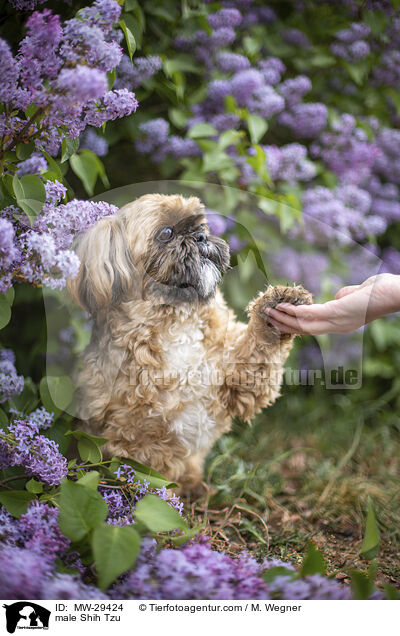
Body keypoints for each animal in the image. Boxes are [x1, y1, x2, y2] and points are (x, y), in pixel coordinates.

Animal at [66, 194, 312, 492]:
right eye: (166, 233)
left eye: (201, 225)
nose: (200, 236)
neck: (177, 319)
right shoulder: (135, 433)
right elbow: (150, 469)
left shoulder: (238, 380)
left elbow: (255, 356)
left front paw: (277, 307)